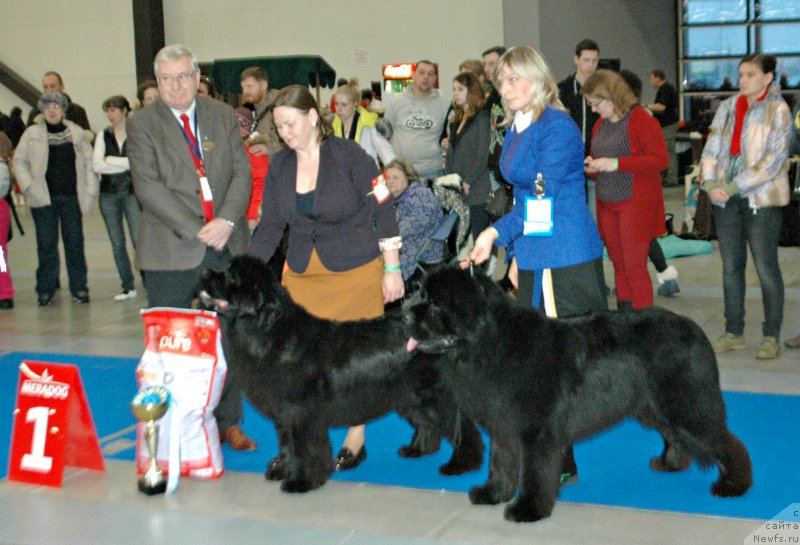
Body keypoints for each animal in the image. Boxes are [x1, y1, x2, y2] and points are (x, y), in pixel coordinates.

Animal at [198, 255, 484, 492]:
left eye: (231, 276)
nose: (205, 271)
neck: (269, 330)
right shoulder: (284, 412)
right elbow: (288, 444)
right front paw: (283, 469)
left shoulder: (301, 411)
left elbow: (305, 447)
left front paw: (302, 481)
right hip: (409, 395)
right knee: (427, 421)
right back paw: (418, 449)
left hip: (435, 394)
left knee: (460, 428)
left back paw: (461, 465)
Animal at [406, 268, 752, 524]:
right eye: (421, 293)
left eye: (435, 304)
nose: (407, 315)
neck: (489, 343)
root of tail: (696, 330)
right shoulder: (504, 423)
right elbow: (501, 462)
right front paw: (493, 493)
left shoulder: (537, 431)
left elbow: (533, 472)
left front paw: (527, 510)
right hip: (654, 405)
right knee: (674, 434)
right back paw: (670, 464)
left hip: (685, 403)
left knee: (724, 440)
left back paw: (734, 485)